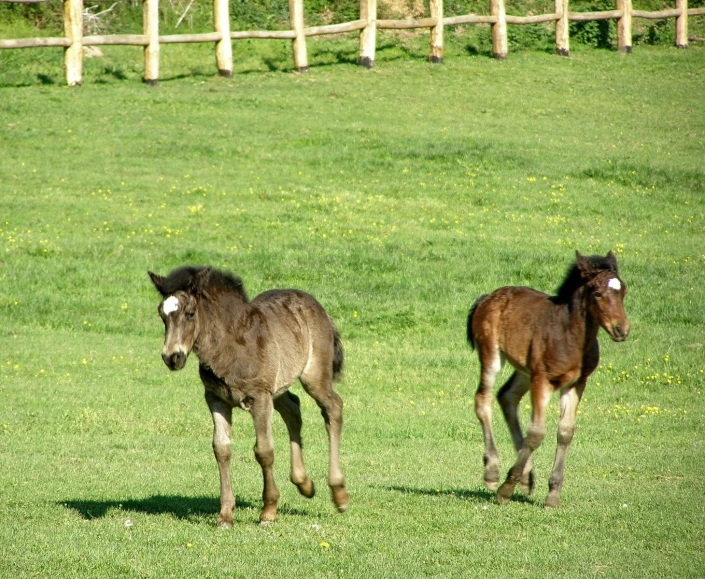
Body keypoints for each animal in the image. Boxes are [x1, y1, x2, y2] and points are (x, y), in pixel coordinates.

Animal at [148, 268, 350, 524]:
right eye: (162, 315)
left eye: (191, 313)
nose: (172, 357)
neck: (231, 345)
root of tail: (317, 306)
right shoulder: (216, 399)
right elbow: (221, 448)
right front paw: (225, 514)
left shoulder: (259, 398)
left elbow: (264, 450)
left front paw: (269, 510)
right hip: (278, 388)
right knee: (293, 408)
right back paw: (304, 484)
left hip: (314, 377)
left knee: (333, 408)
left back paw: (339, 493)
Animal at [468, 251, 628, 510]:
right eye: (597, 293)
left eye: (623, 291)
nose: (621, 330)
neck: (570, 336)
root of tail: (486, 298)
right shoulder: (542, 379)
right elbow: (536, 433)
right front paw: (505, 489)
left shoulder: (576, 383)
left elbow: (565, 432)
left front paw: (552, 494)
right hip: (492, 355)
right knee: (484, 400)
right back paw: (493, 473)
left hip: (524, 370)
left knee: (507, 397)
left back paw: (526, 477)